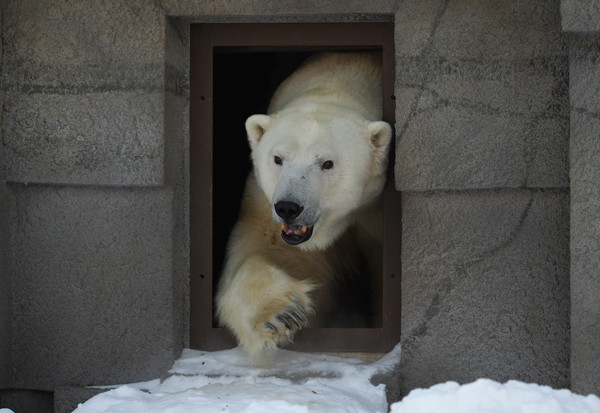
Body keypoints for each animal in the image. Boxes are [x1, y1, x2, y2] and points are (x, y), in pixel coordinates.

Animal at [216, 50, 394, 354]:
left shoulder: (377, 206)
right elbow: (262, 248)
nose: (288, 207)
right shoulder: (263, 199)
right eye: (278, 158)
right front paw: (282, 314)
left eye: (327, 163)